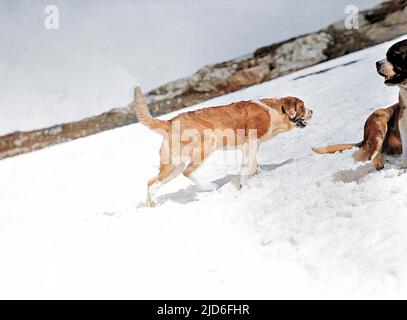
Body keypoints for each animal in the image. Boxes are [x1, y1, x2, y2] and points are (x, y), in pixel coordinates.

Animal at [132, 86, 314, 206]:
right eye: (302, 107)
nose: (312, 111)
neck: (275, 111)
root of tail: (170, 122)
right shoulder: (251, 142)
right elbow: (246, 167)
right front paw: (244, 187)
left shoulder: (247, 147)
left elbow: (253, 165)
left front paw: (258, 177)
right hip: (206, 145)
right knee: (188, 172)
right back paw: (210, 187)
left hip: (173, 166)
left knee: (152, 183)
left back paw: (153, 205)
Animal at [312, 39, 407, 170]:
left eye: (393, 55)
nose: (377, 63)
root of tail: (364, 137)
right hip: (379, 118)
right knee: (371, 147)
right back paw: (377, 162)